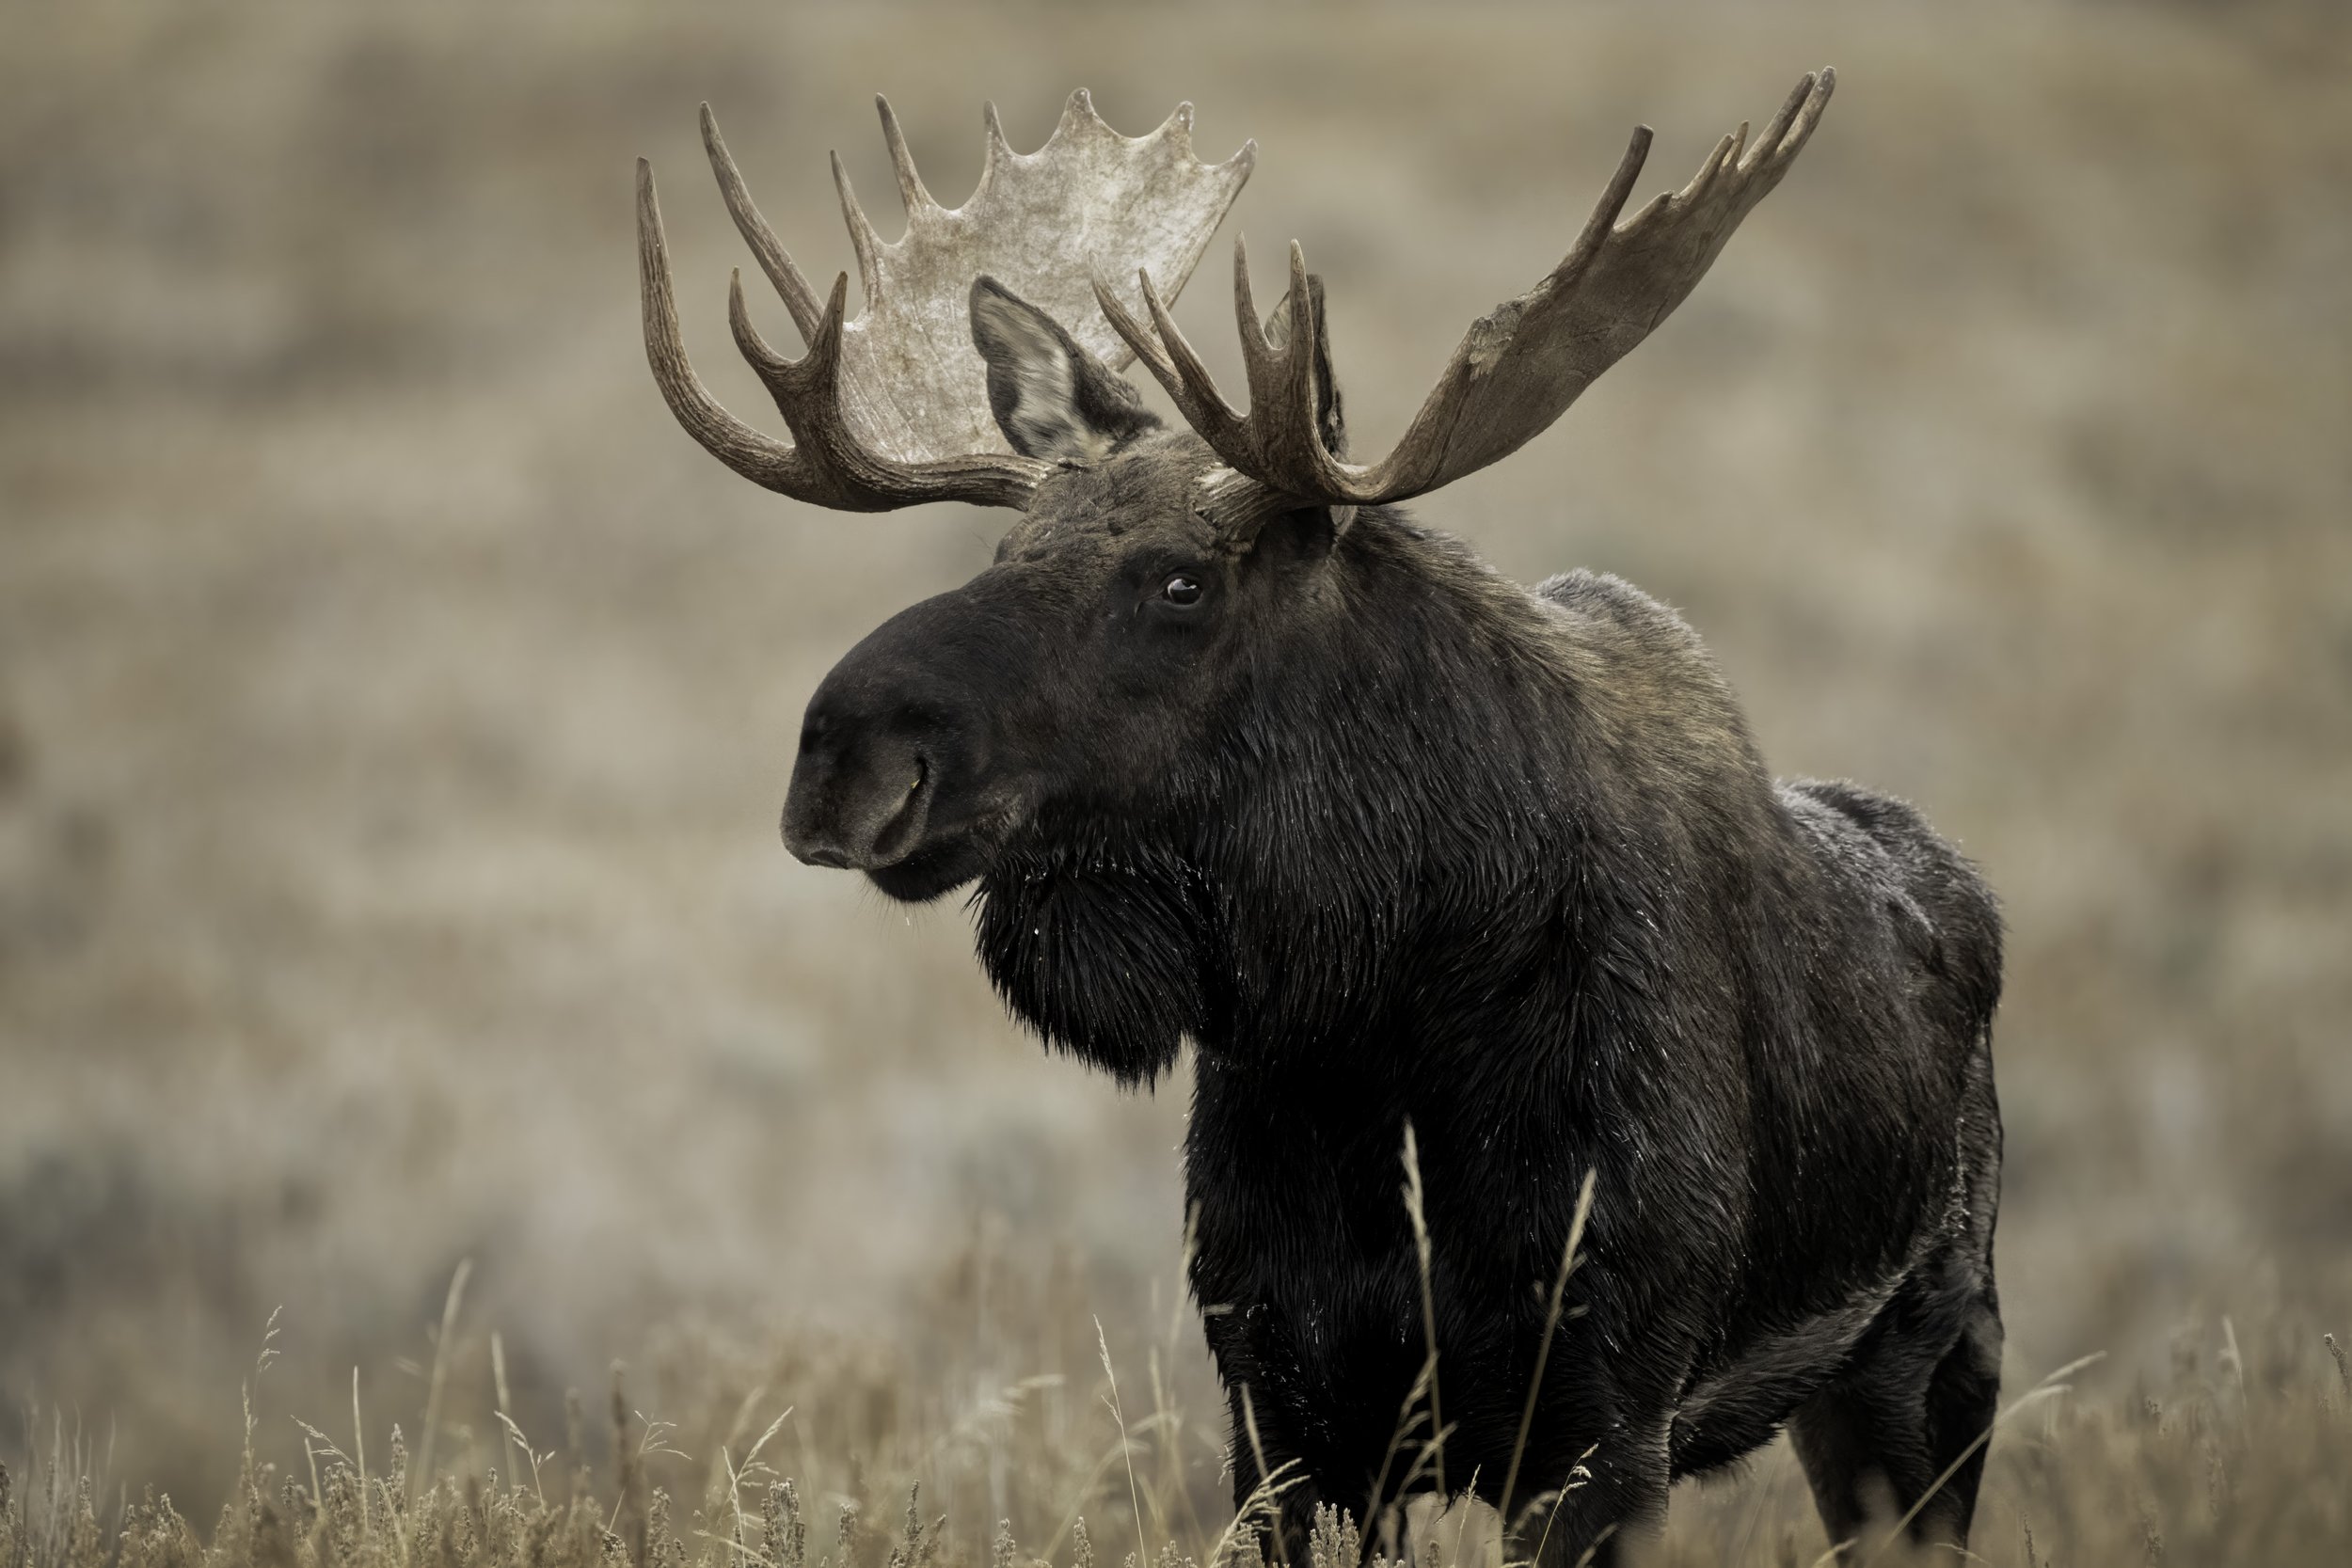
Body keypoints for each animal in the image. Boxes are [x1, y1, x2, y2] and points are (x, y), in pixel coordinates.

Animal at [634, 70, 2005, 1565]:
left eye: (1180, 580)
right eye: (1005, 549)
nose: (845, 757)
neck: (1388, 1015)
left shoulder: (1601, 1420)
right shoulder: (1285, 1403)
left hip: (1932, 1363)